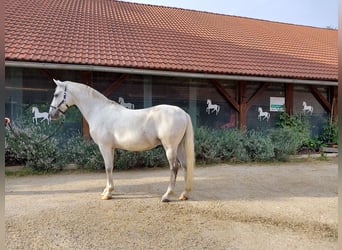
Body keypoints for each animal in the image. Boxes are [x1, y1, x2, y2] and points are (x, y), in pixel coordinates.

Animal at [49, 79, 196, 202]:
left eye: (56, 94)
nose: (51, 115)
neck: (99, 111)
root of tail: (183, 113)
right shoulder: (111, 148)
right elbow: (110, 167)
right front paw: (106, 190)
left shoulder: (104, 146)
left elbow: (108, 167)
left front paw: (108, 193)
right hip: (179, 146)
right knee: (185, 166)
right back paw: (184, 194)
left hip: (170, 147)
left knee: (174, 168)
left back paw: (167, 196)